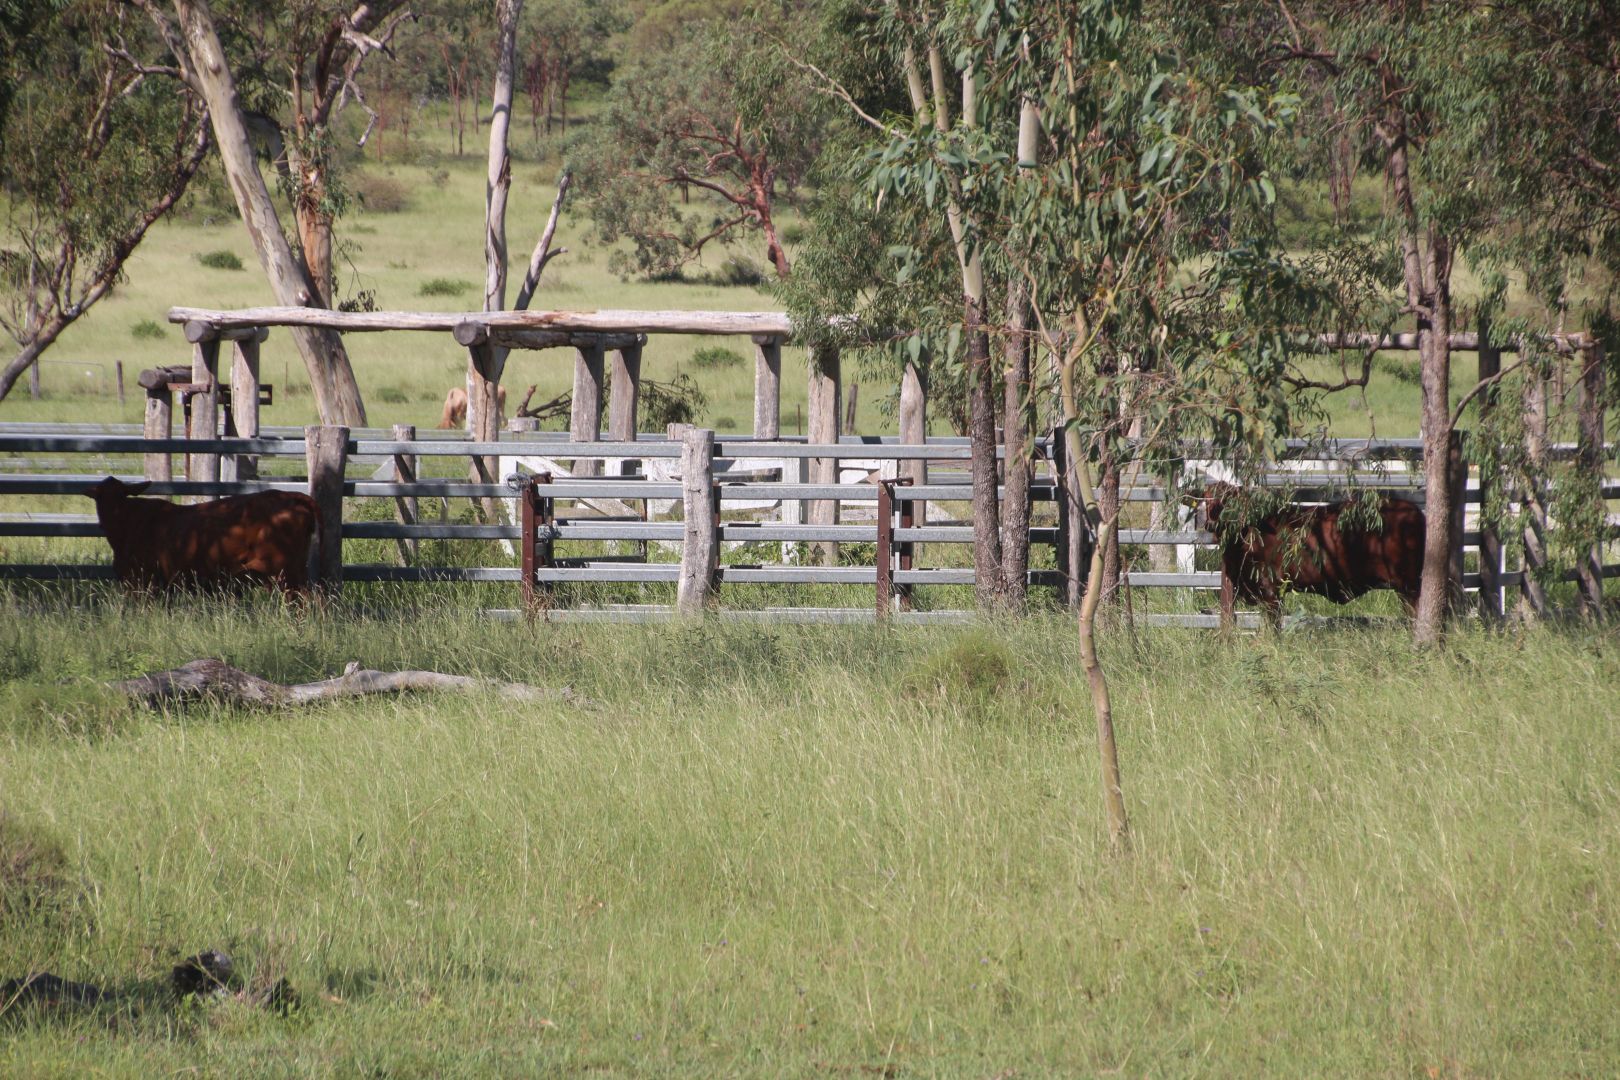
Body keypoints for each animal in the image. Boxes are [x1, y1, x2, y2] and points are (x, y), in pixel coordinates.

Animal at [83, 479, 322, 595]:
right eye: (99, 497)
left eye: (121, 495)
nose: (109, 516)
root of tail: (292, 496)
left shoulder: (140, 580)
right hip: (295, 571)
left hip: (284, 572)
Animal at [1198, 482, 1425, 625]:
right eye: (1206, 499)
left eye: (1228, 499)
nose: (1210, 523)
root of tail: (1413, 510)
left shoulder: (1271, 590)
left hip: (1409, 585)